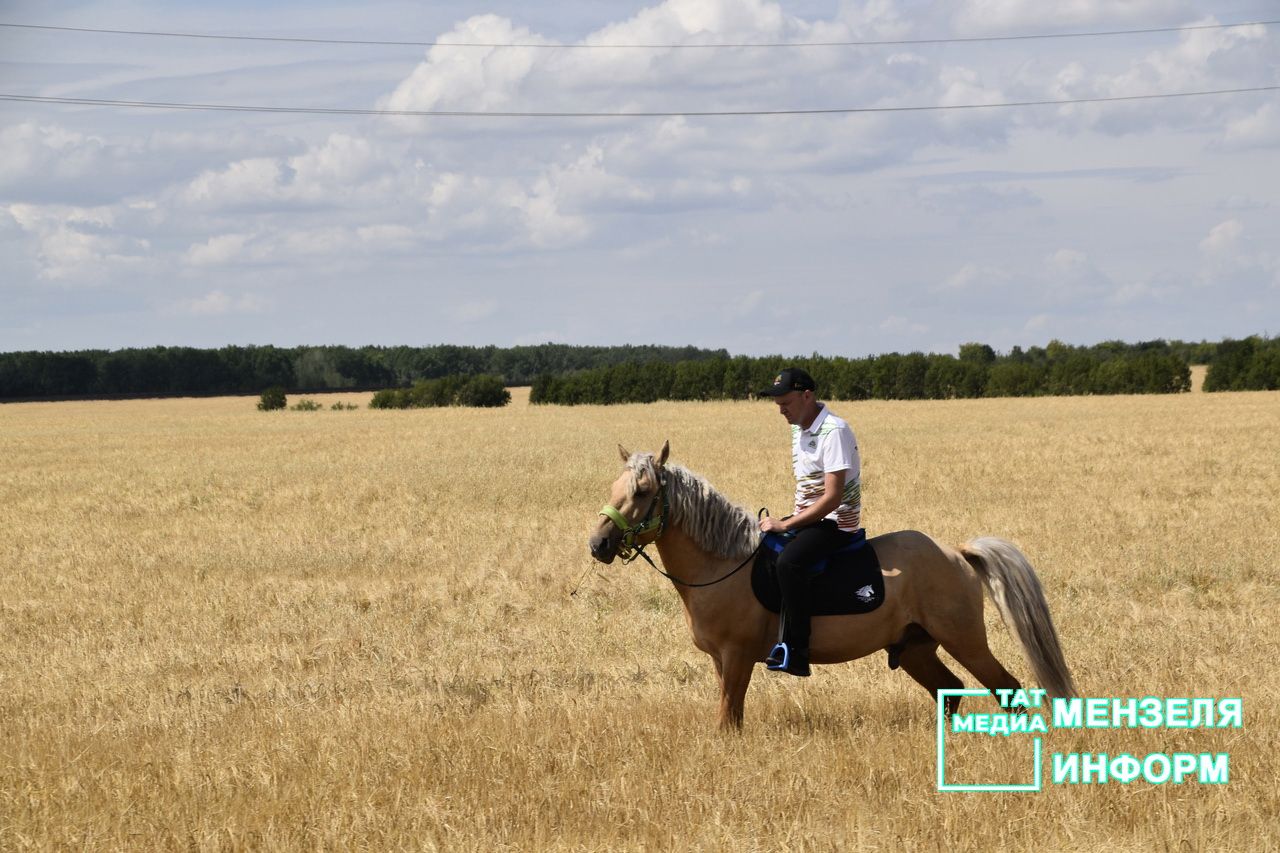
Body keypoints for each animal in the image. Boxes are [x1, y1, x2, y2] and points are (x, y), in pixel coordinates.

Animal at [586, 440, 1075, 727]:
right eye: (614, 488)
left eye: (643, 492)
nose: (598, 543)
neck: (723, 565)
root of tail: (955, 553)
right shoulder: (721, 661)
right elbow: (731, 715)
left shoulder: (737, 656)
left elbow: (729, 718)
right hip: (915, 648)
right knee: (949, 693)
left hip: (965, 639)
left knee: (1007, 687)